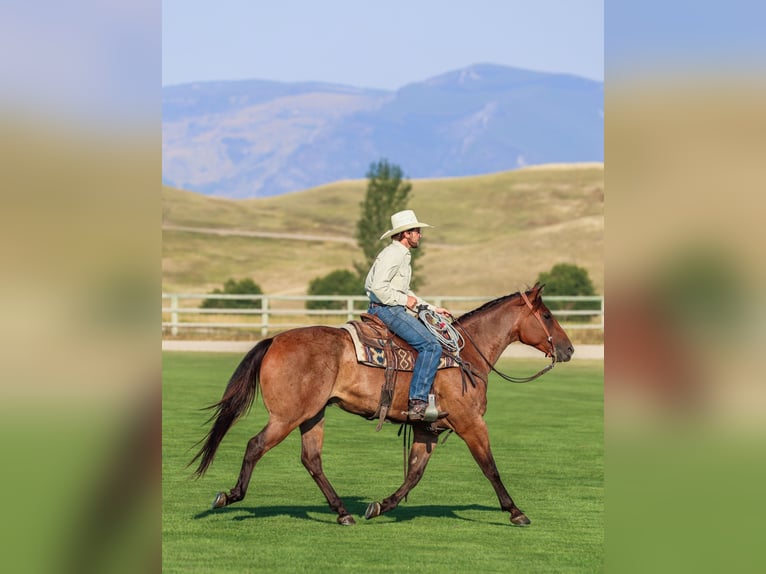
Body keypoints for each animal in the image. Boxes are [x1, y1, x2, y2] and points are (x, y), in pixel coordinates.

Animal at [191, 283, 574, 526]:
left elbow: (414, 473)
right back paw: (230, 496)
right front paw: (515, 512)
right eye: (548, 316)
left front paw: (380, 506)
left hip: (313, 415)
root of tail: (273, 340)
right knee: (256, 445)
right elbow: (490, 467)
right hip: (286, 416)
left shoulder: (428, 428)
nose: (568, 349)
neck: (465, 355)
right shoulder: (470, 422)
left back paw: (343, 512)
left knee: (311, 459)